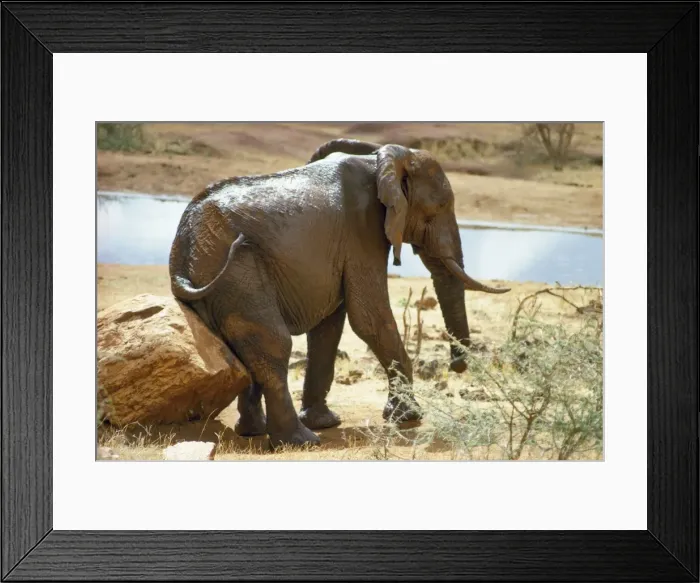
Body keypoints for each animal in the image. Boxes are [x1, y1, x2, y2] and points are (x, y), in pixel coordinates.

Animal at [169, 138, 510, 447]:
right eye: (438, 208)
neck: (381, 158)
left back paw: (254, 431)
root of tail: (181, 248)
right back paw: (300, 441)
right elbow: (368, 317)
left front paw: (327, 422)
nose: (457, 366)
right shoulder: (363, 229)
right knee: (274, 342)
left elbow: (330, 325)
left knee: (244, 351)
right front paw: (408, 417)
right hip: (238, 271)